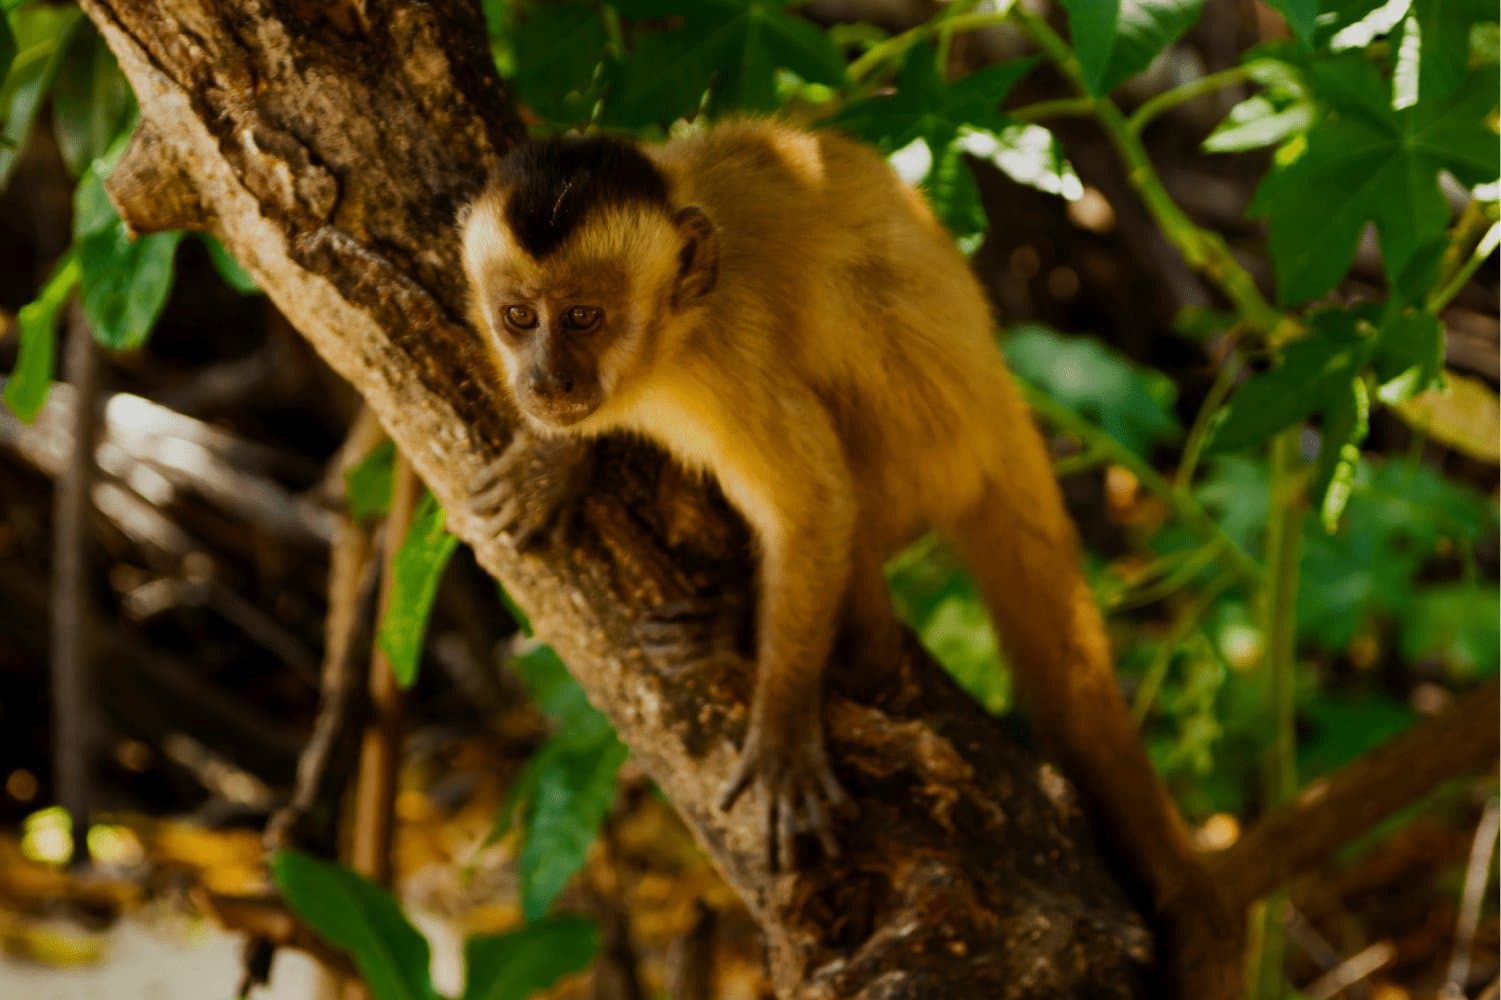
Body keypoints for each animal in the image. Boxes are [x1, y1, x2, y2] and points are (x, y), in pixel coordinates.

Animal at [458, 119, 1206, 913]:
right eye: (517, 318)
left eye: (583, 318)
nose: (546, 379)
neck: (674, 336)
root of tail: (997, 404)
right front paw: (554, 458)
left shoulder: (731, 370)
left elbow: (815, 509)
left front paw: (783, 726)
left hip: (928, 457)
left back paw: (770, 635)